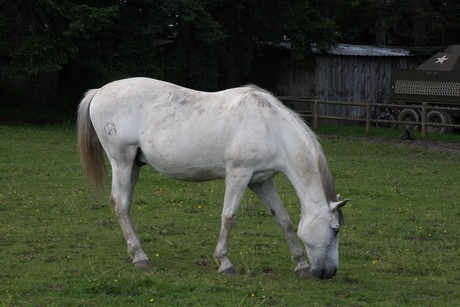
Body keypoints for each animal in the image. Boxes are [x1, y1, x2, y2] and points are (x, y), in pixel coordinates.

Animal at [77, 78, 346, 280]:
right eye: (335, 230)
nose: (330, 272)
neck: (271, 127)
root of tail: (99, 91)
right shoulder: (239, 174)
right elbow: (229, 217)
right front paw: (225, 263)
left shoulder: (261, 180)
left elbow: (283, 219)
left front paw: (300, 264)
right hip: (121, 161)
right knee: (121, 204)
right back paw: (140, 257)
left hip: (133, 165)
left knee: (124, 205)